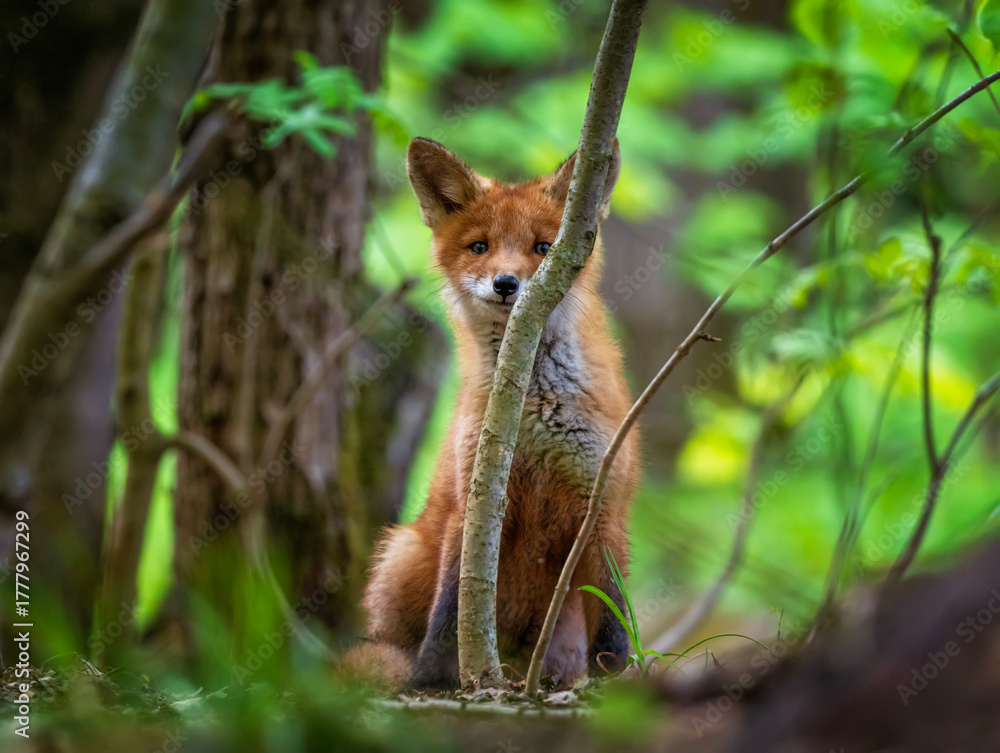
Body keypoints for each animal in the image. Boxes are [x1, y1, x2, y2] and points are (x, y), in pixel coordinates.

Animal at [346, 137, 640, 691]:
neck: (534, 410)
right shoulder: (474, 502)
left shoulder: (602, 506)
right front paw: (431, 682)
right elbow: (452, 610)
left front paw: (616, 684)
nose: (506, 284)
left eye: (543, 248)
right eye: (479, 247)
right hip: (401, 552)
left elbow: (613, 619)